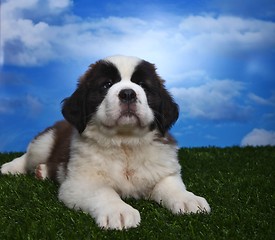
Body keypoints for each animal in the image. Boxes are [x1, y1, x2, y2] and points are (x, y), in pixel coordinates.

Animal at [0, 55, 211, 230]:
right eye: (106, 85)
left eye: (143, 85)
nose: (128, 93)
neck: (125, 142)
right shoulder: (81, 181)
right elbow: (104, 192)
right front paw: (118, 211)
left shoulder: (162, 170)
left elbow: (171, 186)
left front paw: (188, 200)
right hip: (44, 142)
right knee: (29, 155)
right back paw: (11, 167)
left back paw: (42, 171)